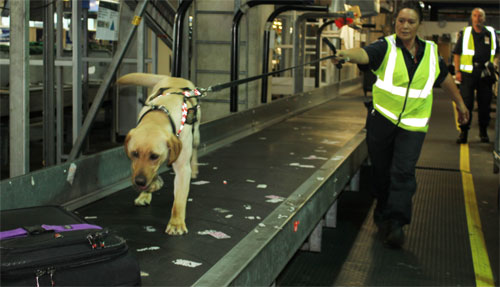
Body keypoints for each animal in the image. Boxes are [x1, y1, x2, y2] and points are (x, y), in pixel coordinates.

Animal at [117, 72, 201, 236]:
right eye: (134, 153)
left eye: (154, 156)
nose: (140, 182)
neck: (160, 115)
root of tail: (174, 78)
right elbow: (151, 175)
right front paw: (150, 188)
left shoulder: (182, 169)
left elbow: (179, 201)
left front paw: (176, 223)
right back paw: (145, 194)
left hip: (196, 136)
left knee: (194, 150)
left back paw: (194, 168)